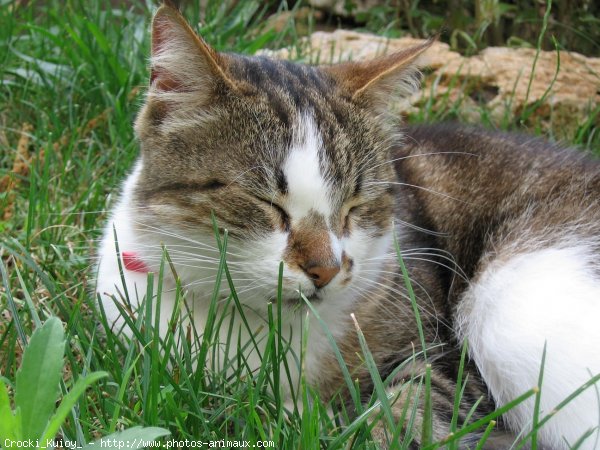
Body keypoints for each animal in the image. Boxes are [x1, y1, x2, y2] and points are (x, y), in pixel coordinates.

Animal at [96, 4, 600, 450]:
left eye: (355, 206)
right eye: (265, 202)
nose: (327, 269)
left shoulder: (443, 354)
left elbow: (414, 403)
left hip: (510, 311)